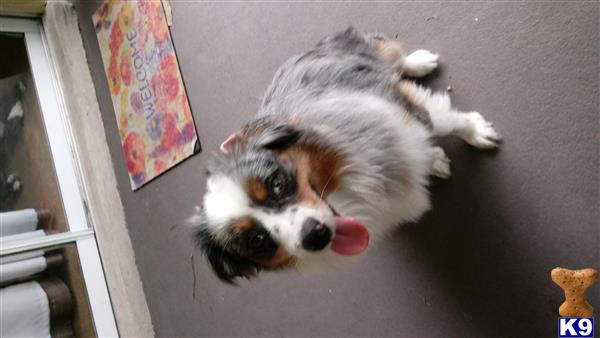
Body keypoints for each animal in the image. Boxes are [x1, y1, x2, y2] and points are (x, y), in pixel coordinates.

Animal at [191, 27, 496, 284]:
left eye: (276, 183)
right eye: (256, 240)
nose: (314, 236)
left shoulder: (400, 109)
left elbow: (445, 121)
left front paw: (477, 132)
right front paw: (436, 157)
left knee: (390, 53)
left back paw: (419, 61)